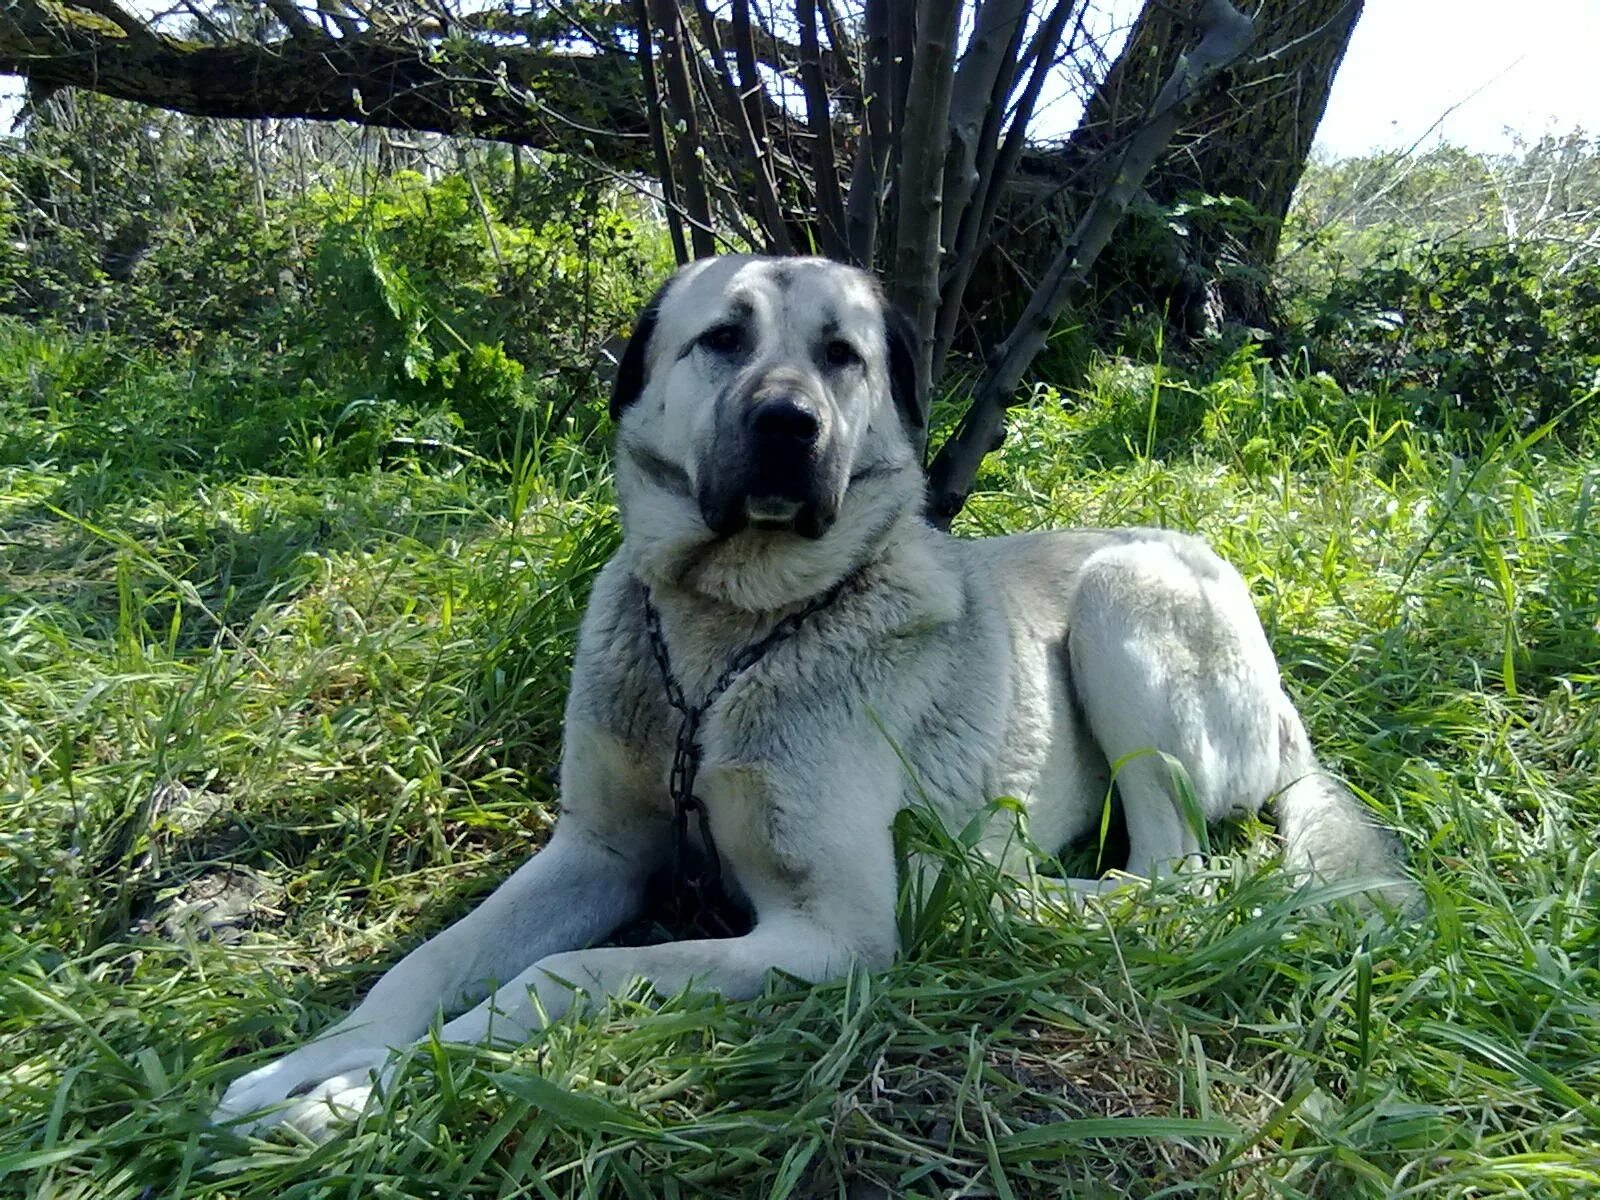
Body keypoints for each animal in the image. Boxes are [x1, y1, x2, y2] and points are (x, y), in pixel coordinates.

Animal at [212, 254, 1401, 1139]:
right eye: (723, 339)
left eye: (843, 356)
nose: (791, 425)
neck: (729, 631)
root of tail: (1290, 721)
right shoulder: (595, 850)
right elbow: (433, 962)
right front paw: (317, 1065)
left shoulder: (824, 934)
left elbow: (566, 975)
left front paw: (367, 1092)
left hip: (1124, 595)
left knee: (1176, 877)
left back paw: (997, 894)